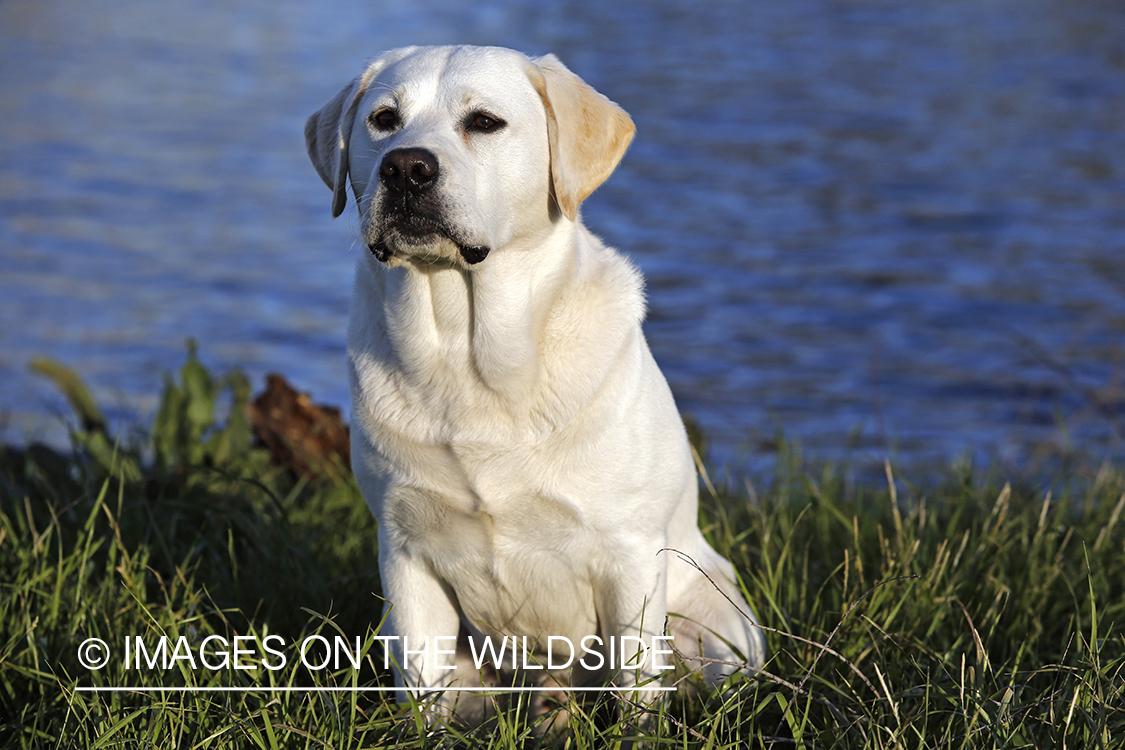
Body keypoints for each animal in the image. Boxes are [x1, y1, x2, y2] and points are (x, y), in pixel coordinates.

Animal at [306, 45, 765, 719]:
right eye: (384, 119)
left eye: (484, 122)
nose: (406, 168)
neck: (468, 356)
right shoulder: (405, 551)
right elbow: (422, 696)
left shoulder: (629, 554)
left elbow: (634, 695)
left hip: (715, 624)